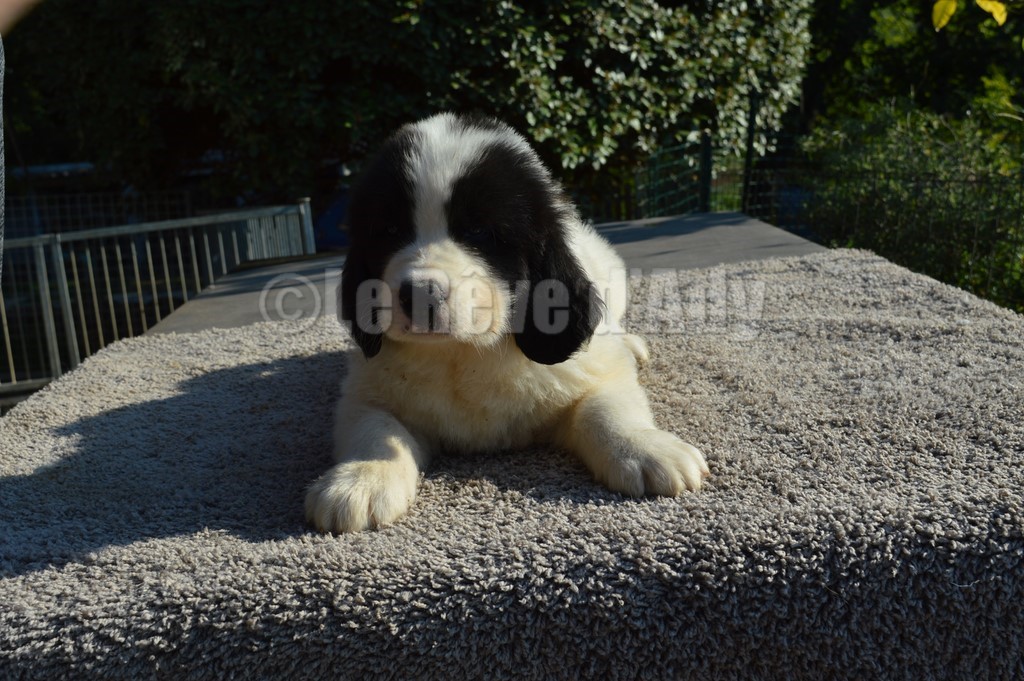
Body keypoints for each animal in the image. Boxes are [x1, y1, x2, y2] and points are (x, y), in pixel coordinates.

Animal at [305, 112, 708, 533]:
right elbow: (375, 426)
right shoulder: (366, 388)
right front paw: (361, 479)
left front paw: (645, 448)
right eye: (389, 231)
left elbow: (607, 408)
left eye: (479, 231)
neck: (462, 354)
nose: (419, 294)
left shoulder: (592, 369)